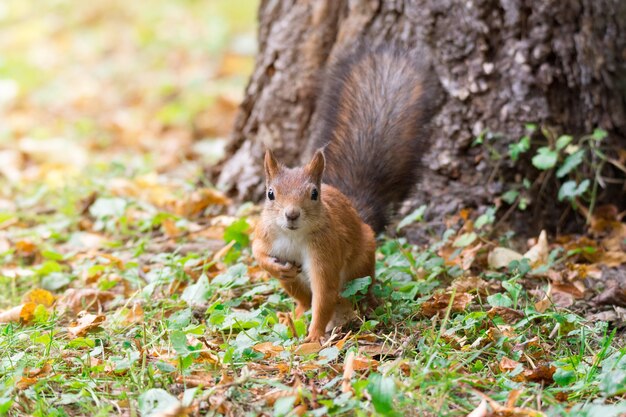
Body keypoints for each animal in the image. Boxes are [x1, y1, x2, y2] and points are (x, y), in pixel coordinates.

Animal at [251, 44, 436, 342]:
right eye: (270, 194)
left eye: (314, 194)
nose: (291, 215)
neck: (293, 236)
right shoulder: (265, 233)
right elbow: (257, 252)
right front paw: (274, 266)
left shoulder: (325, 252)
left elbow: (324, 294)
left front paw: (314, 337)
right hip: (294, 285)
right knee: (303, 300)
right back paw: (293, 315)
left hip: (360, 267)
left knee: (353, 291)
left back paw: (364, 306)